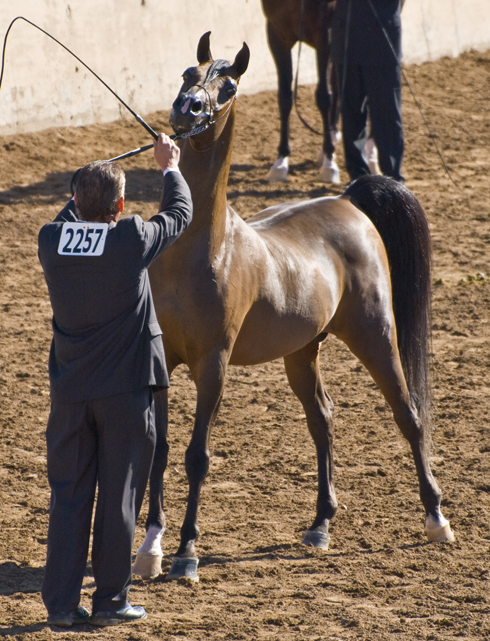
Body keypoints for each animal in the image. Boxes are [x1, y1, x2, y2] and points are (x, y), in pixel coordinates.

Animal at [132, 32, 454, 582]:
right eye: (187, 75)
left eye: (229, 85)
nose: (186, 108)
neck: (197, 247)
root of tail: (348, 200)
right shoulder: (162, 361)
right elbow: (160, 451)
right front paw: (150, 547)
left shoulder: (213, 365)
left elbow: (197, 456)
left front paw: (186, 553)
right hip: (302, 353)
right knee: (322, 419)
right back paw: (321, 524)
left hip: (375, 334)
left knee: (407, 414)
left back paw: (436, 519)